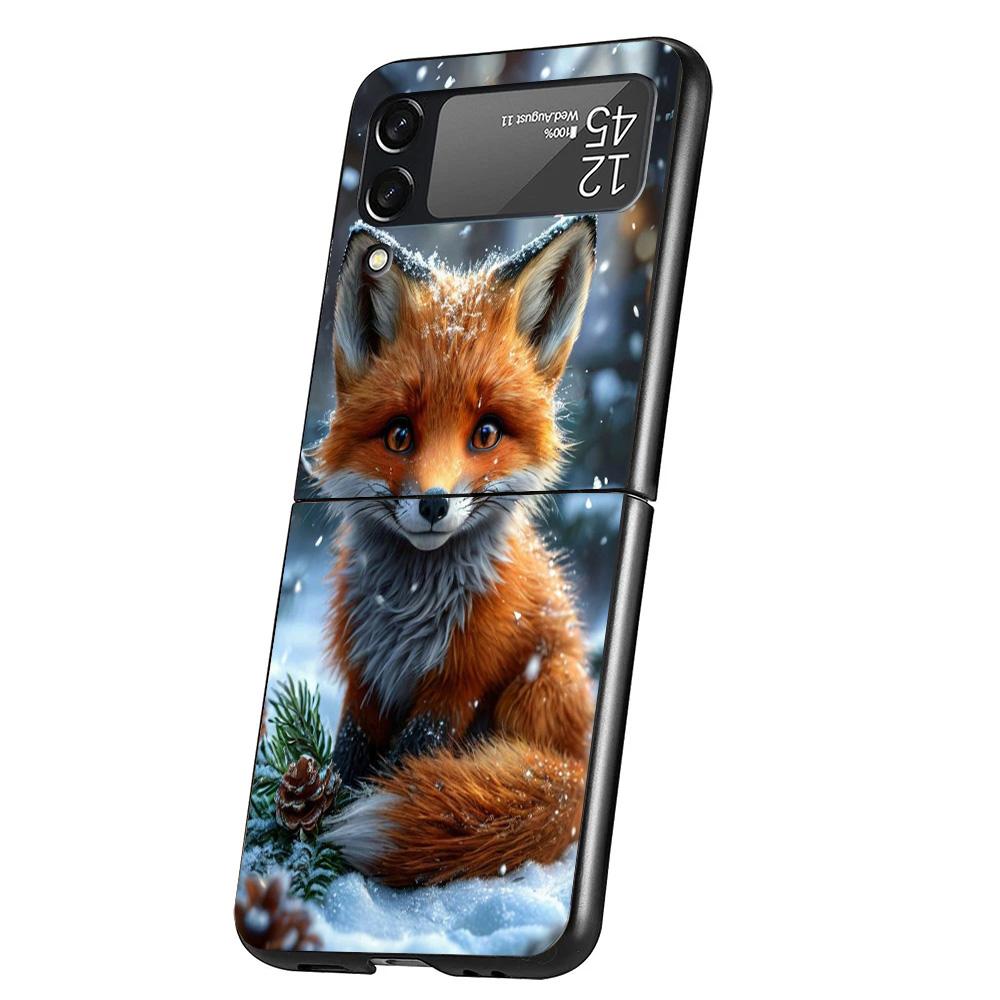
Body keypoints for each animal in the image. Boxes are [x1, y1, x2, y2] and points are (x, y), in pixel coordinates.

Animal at [307, 216, 598, 887]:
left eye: (485, 434)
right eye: (399, 436)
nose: (434, 505)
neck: (411, 610)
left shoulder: (459, 681)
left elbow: (406, 764)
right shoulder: (366, 669)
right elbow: (350, 755)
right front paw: (320, 812)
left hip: (538, 686)